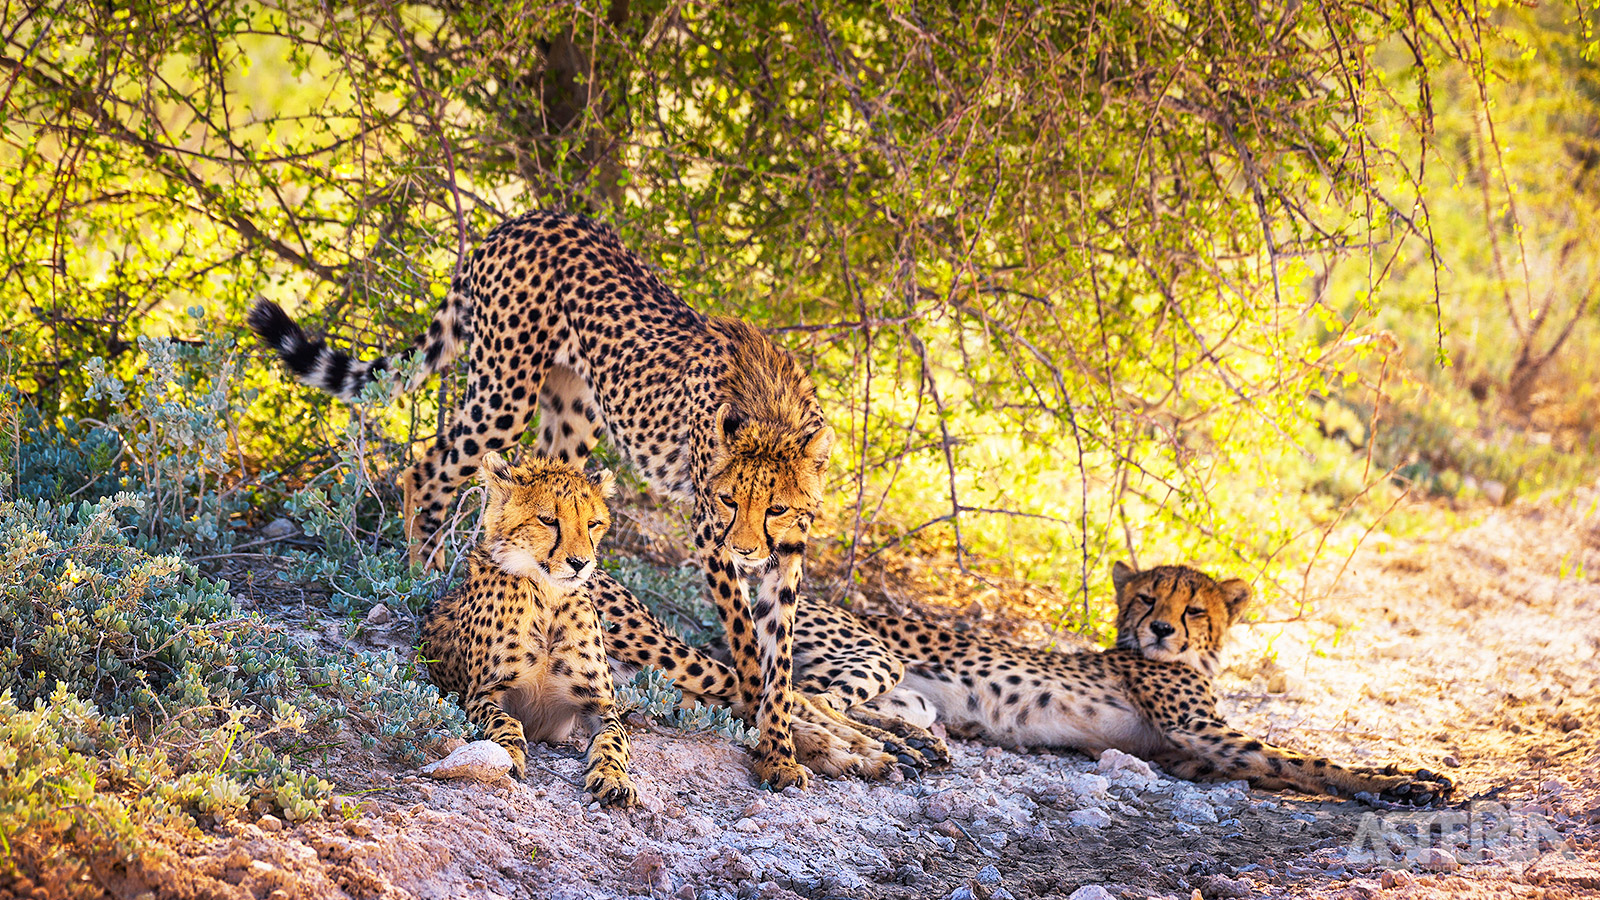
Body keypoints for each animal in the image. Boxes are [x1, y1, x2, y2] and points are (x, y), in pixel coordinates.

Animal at [422, 451, 640, 800]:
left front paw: (613, 776)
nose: (580, 563)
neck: (548, 597)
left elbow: (614, 739)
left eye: (593, 524)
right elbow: (506, 722)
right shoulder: (482, 693)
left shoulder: (600, 704)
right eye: (548, 520)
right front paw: (509, 756)